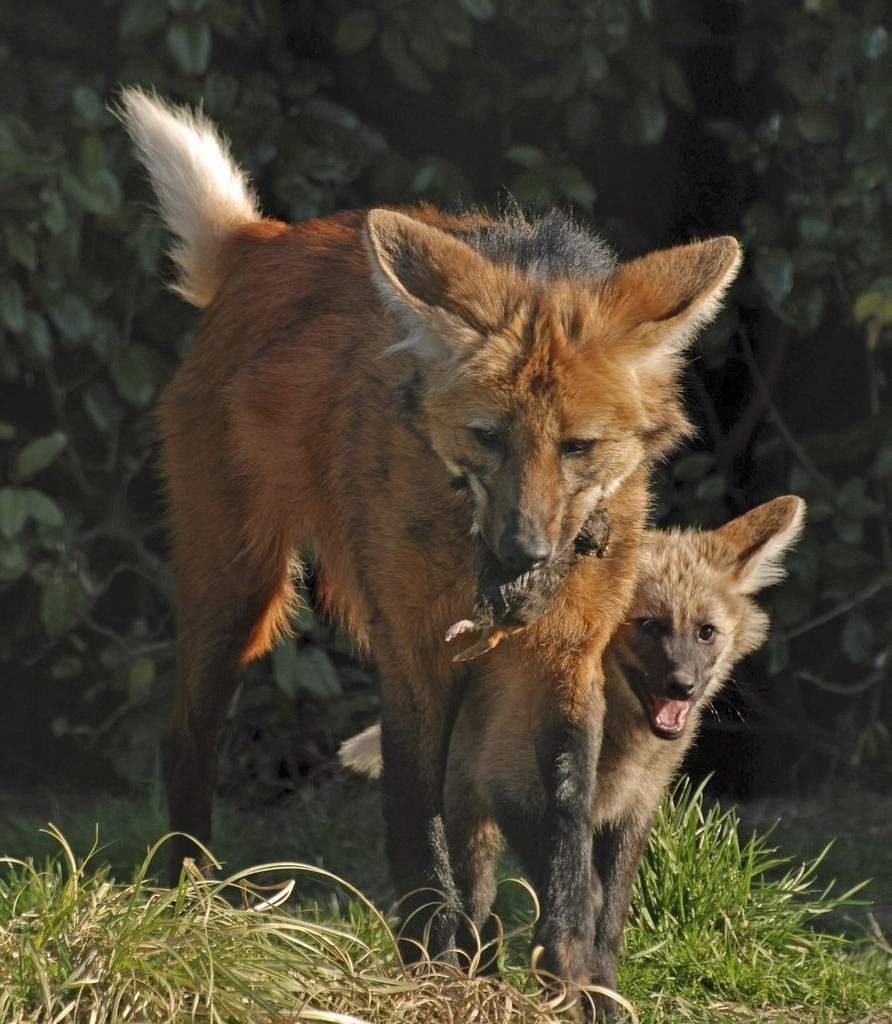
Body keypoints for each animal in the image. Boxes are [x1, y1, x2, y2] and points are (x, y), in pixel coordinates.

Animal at [121, 88, 741, 983]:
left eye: (578, 447)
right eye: (487, 437)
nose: (524, 552)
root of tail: (265, 242)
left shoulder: (564, 657)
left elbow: (565, 836)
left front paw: (571, 976)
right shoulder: (414, 649)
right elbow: (423, 833)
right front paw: (434, 970)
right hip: (239, 589)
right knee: (186, 738)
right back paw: (191, 905)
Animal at [342, 495, 811, 1015]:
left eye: (705, 632)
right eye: (648, 626)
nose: (683, 686)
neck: (621, 756)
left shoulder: (634, 809)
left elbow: (610, 922)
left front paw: (604, 1000)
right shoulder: (514, 788)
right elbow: (584, 894)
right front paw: (568, 979)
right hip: (466, 817)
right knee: (475, 910)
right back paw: (477, 986)